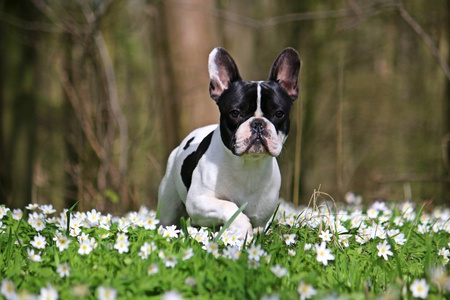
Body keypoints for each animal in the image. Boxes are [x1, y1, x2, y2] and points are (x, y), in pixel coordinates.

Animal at [156, 47, 300, 238]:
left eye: (279, 113)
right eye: (235, 113)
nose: (258, 124)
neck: (247, 165)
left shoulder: (262, 215)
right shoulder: (198, 201)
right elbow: (230, 208)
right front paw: (242, 231)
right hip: (169, 205)